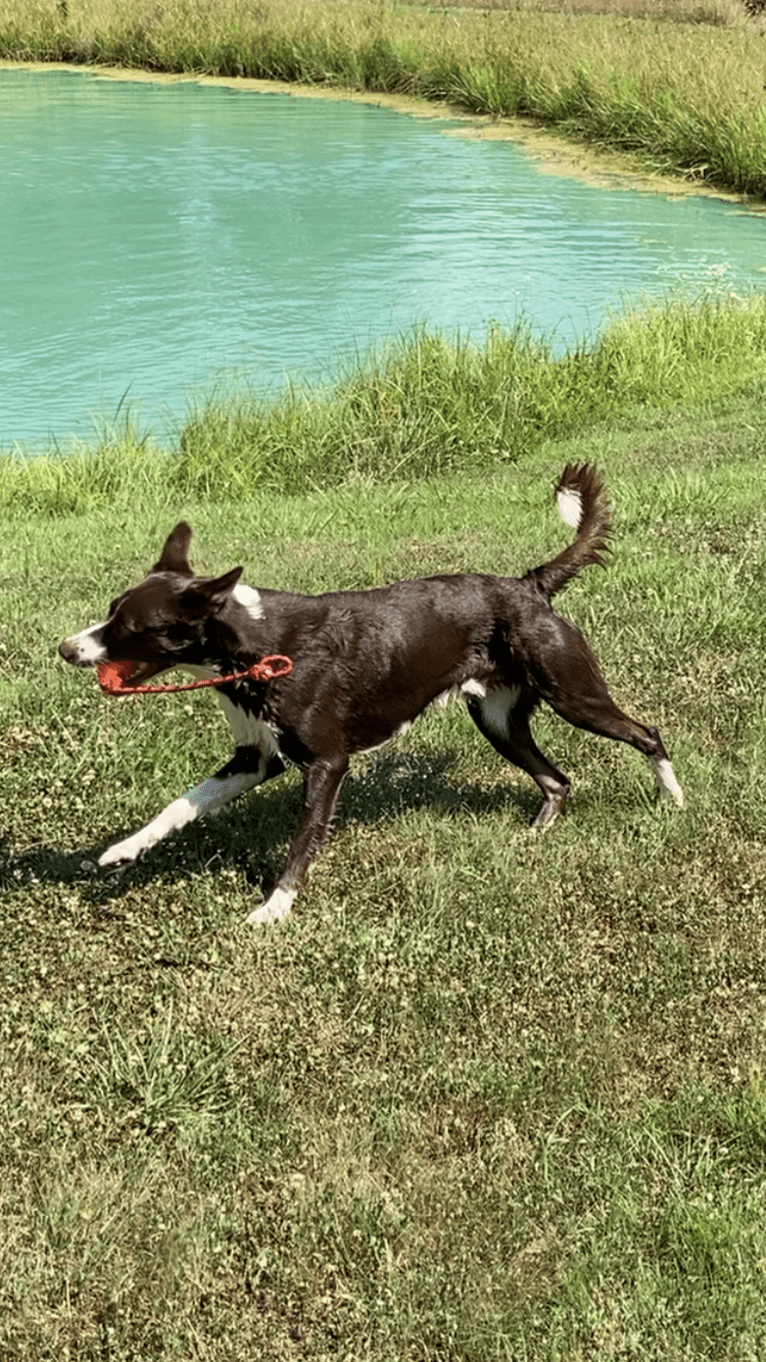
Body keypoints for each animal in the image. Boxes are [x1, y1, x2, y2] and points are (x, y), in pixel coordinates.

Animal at [58, 465, 678, 926]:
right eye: (111, 610)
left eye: (129, 627)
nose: (66, 648)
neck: (255, 646)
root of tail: (528, 585)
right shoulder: (253, 758)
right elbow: (181, 805)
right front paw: (125, 849)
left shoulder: (327, 763)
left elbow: (301, 842)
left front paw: (274, 909)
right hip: (497, 718)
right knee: (557, 780)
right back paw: (537, 833)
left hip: (573, 694)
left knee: (647, 734)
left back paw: (674, 801)